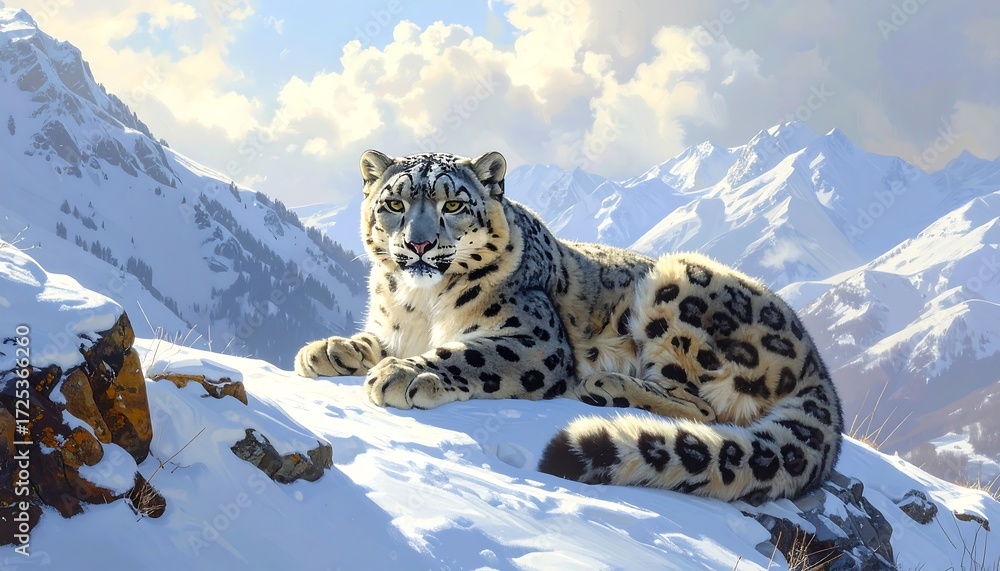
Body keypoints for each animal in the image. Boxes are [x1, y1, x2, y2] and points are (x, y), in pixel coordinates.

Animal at [294, 149, 844, 504]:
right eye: (394, 204)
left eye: (453, 204)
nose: (419, 244)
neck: (421, 303)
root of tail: (821, 370)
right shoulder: (391, 326)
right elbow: (372, 338)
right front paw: (325, 350)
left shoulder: (534, 340)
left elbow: (470, 353)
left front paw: (404, 374)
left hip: (679, 284)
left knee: (703, 408)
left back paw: (607, 384)